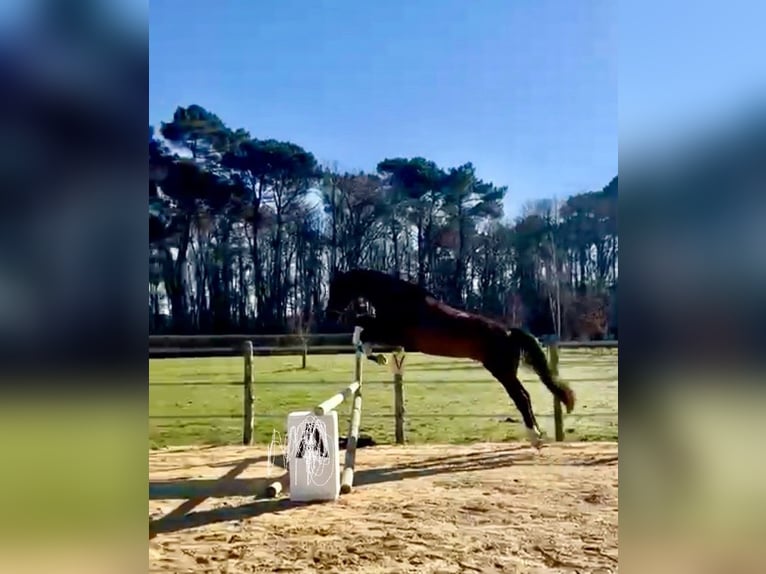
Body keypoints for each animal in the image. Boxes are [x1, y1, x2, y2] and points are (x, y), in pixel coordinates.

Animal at [325, 268, 576, 448]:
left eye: (337, 288)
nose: (330, 315)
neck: (398, 298)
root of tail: (508, 332)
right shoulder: (391, 333)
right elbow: (363, 329)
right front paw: (378, 357)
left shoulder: (393, 332)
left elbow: (363, 329)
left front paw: (376, 356)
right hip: (503, 371)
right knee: (524, 397)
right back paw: (537, 436)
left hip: (502, 371)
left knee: (522, 398)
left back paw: (535, 437)